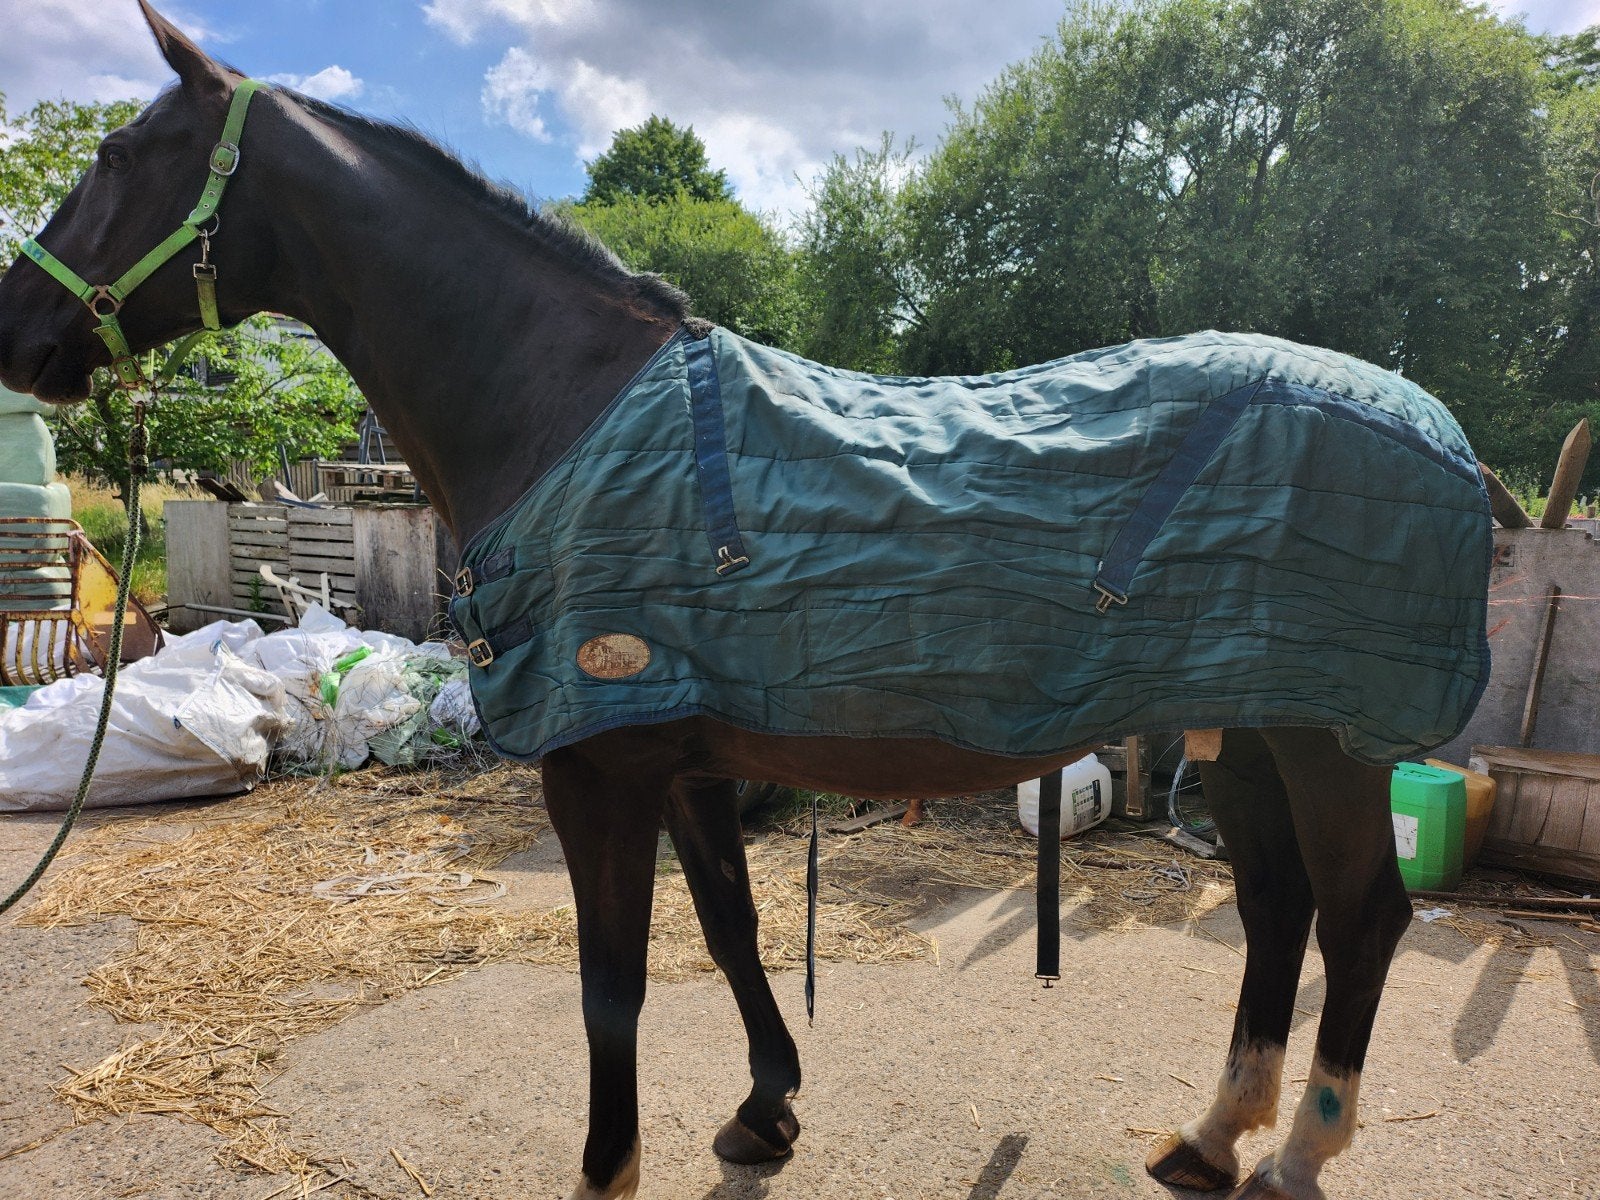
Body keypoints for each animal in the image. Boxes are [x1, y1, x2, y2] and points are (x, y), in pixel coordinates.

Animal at [0, 7, 1492, 1199]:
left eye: (117, 158)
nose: (20, 330)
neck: (563, 411)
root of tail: (1440, 429)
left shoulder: (600, 768)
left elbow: (613, 983)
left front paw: (612, 1169)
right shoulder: (689, 759)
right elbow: (729, 929)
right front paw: (767, 1109)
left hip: (1325, 740)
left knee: (1359, 917)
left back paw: (1298, 1154)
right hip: (1252, 727)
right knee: (1278, 910)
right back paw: (1212, 1137)